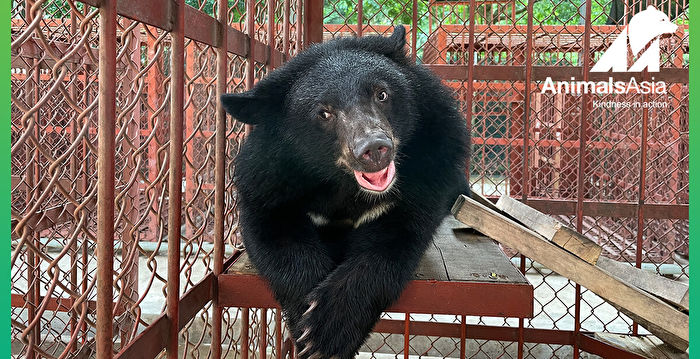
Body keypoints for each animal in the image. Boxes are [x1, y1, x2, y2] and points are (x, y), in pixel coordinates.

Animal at [219, 26, 470, 359]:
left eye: (381, 94)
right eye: (324, 113)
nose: (374, 149)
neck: (343, 183)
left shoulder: (431, 162)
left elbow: (398, 235)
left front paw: (329, 329)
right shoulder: (267, 177)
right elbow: (274, 230)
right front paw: (306, 327)